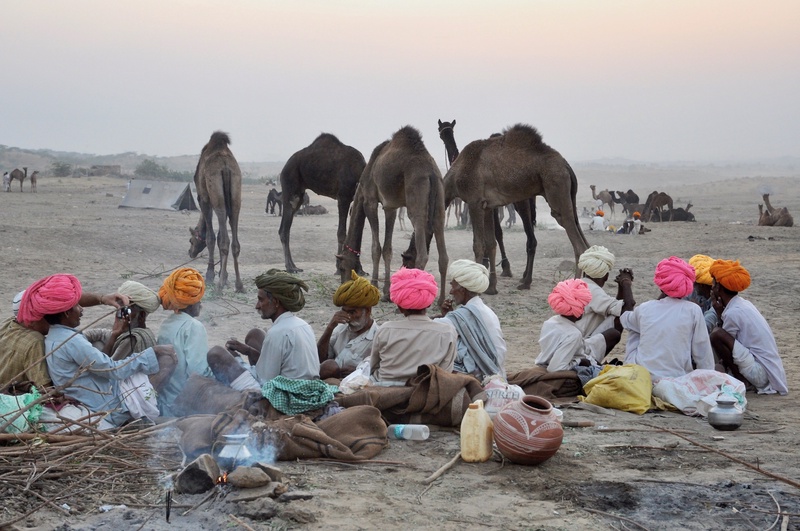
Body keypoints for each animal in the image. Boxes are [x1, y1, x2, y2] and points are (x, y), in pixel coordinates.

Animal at [188, 131, 244, 292]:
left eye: (191, 240)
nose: (190, 252)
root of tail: (225, 166)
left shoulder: (203, 199)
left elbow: (211, 237)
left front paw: (211, 275)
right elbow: (219, 236)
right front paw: (223, 276)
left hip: (216, 196)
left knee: (224, 240)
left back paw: (218, 288)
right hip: (235, 197)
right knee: (234, 242)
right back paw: (239, 286)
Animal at [279, 134, 365, 273]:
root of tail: (284, 167)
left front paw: (360, 269)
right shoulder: (343, 197)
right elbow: (342, 233)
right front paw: (339, 267)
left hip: (299, 195)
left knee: (287, 227)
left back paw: (293, 266)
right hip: (289, 186)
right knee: (284, 229)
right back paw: (290, 267)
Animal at [337, 126, 449, 307]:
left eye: (341, 267)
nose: (343, 285)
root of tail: (431, 172)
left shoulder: (369, 200)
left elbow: (376, 248)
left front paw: (374, 287)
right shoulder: (390, 207)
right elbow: (387, 249)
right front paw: (387, 294)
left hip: (416, 196)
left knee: (422, 251)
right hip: (440, 197)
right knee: (443, 252)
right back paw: (441, 301)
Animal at [439, 124, 589, 294]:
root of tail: (566, 166)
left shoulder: (474, 201)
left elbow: (478, 245)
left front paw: (473, 290)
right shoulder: (487, 206)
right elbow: (490, 243)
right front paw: (491, 287)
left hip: (556, 187)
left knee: (579, 246)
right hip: (568, 197)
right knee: (584, 242)